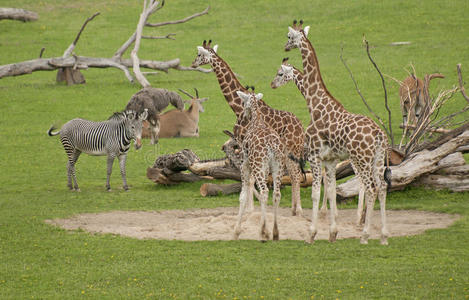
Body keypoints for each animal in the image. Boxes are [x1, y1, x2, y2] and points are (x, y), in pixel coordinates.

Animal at [191, 41, 306, 217]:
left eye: (199, 55)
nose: (193, 64)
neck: (238, 107)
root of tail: (301, 126)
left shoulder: (245, 144)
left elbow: (251, 177)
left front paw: (250, 209)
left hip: (292, 148)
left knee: (296, 174)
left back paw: (298, 209)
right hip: (287, 153)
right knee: (293, 175)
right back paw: (293, 209)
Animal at [234, 89, 286, 241]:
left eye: (243, 102)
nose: (244, 115)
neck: (256, 120)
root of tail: (271, 145)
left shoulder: (245, 164)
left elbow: (243, 195)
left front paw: (236, 231)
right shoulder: (266, 168)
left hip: (258, 165)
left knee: (264, 191)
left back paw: (264, 232)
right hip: (278, 166)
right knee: (276, 193)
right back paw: (275, 233)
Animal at [270, 21, 392, 246]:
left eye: (289, 37)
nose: (285, 47)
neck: (315, 104)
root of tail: (380, 135)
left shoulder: (315, 155)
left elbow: (316, 193)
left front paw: (311, 234)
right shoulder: (330, 160)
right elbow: (332, 191)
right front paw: (333, 233)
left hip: (361, 159)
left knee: (370, 188)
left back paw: (364, 235)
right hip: (378, 159)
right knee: (382, 188)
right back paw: (384, 236)